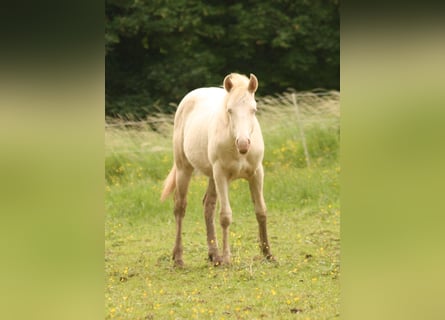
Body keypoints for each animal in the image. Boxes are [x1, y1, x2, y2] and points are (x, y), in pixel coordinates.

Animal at [160, 74, 270, 266]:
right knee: (180, 207)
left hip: (212, 176)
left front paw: (268, 254)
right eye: (230, 110)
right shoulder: (221, 175)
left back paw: (214, 255)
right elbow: (225, 216)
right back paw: (179, 258)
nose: (243, 144)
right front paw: (227, 258)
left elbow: (261, 211)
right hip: (184, 168)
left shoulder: (256, 173)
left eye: (254, 110)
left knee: (208, 205)